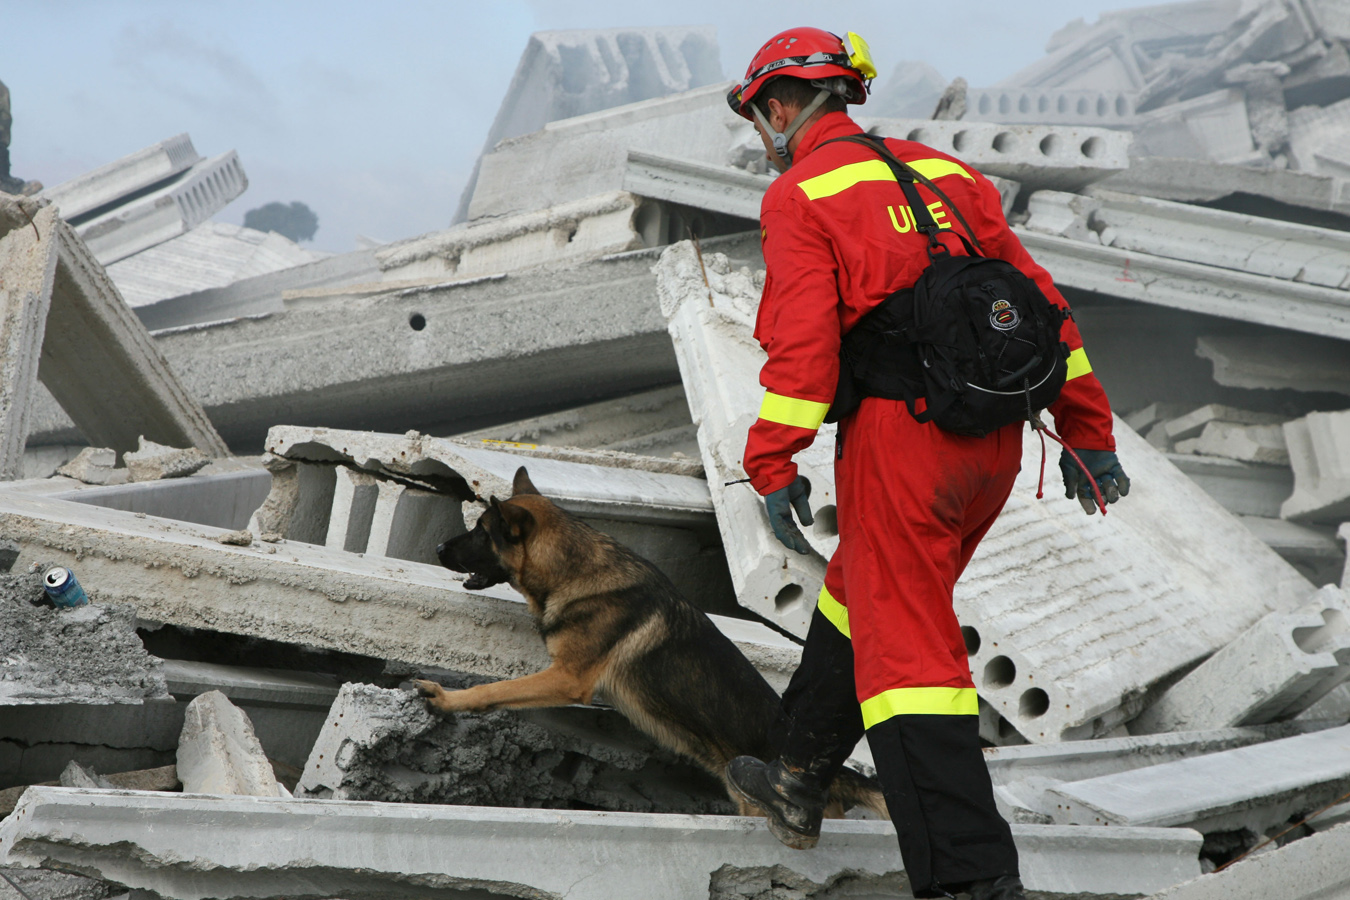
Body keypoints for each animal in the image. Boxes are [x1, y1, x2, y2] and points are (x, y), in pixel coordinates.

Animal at [415, 469, 891, 820]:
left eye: (481, 533)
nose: (436, 546)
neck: (574, 568)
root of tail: (826, 775)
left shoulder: (567, 678)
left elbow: (492, 690)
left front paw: (448, 699)